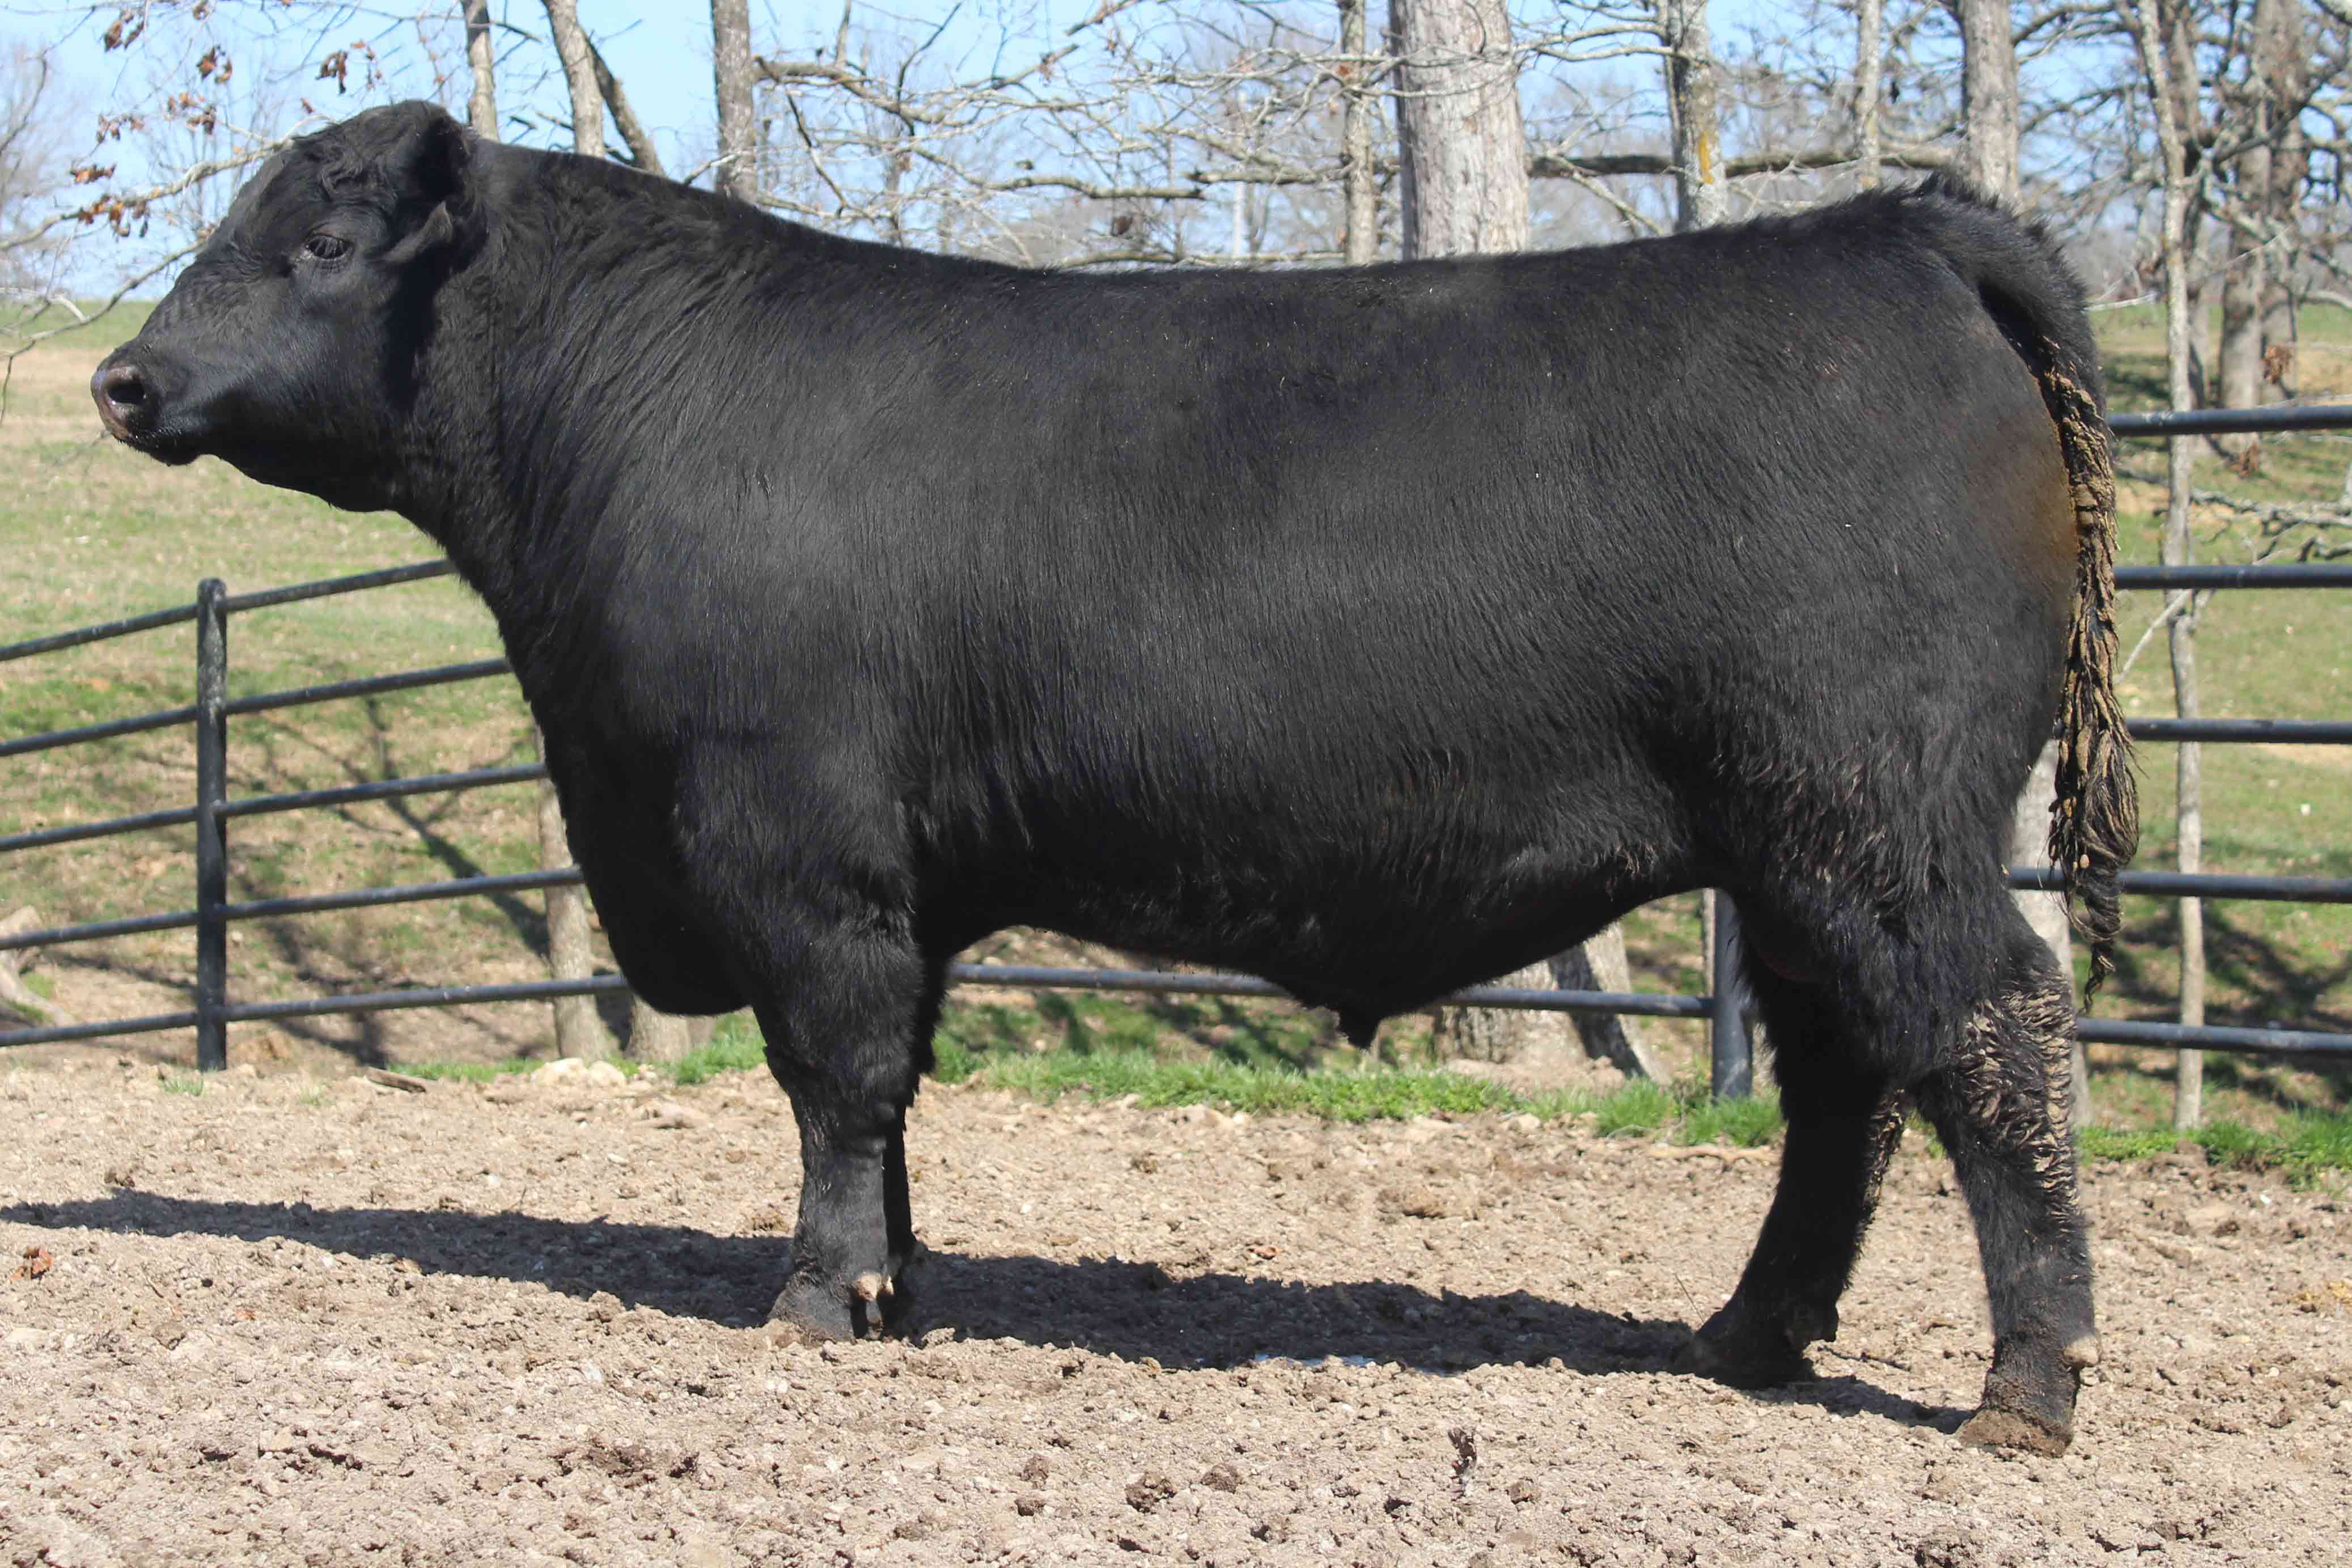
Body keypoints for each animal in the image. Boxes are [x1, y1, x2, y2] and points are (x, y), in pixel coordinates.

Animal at [94, 101, 2137, 1456]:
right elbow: (888, 1095)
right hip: (1795, 842)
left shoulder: (793, 847)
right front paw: (896, 1285)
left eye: (321, 244)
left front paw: (812, 1299)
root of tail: (1889, 229)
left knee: (1988, 1028)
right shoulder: (877, 875)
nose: (117, 377)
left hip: (1871, 810)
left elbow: (833, 1075)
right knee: (1845, 1074)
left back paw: (2020, 1386)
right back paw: (1747, 1335)